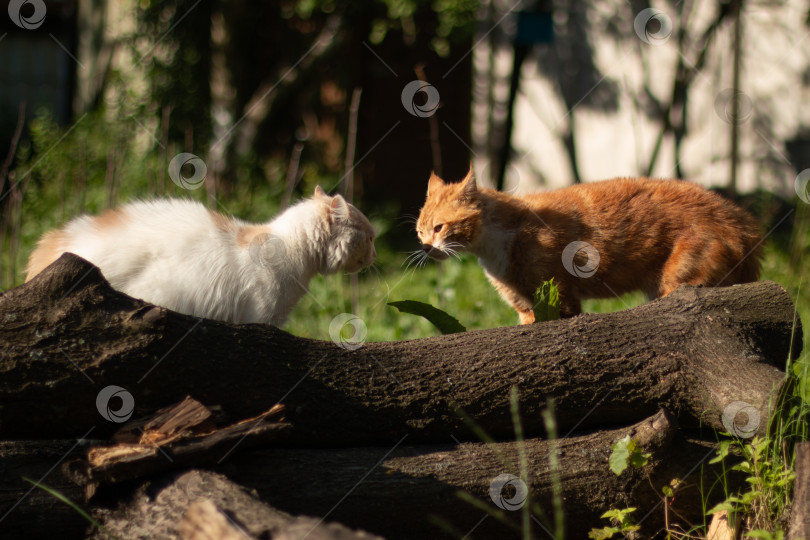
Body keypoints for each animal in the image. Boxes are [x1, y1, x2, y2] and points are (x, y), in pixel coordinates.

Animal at [414, 169, 760, 322]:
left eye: (439, 227)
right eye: (420, 232)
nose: (427, 248)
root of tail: (741, 220)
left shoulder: (560, 297)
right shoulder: (525, 307)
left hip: (680, 282)